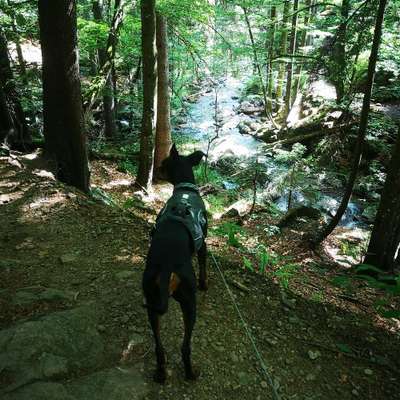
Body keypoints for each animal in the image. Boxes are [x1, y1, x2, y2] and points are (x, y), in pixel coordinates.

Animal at [142, 145, 208, 384]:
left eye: (163, 164)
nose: (155, 170)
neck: (185, 190)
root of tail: (167, 267)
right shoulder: (203, 244)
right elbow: (204, 267)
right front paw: (205, 284)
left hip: (151, 301)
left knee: (159, 346)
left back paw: (161, 372)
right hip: (189, 303)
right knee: (185, 346)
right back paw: (191, 373)